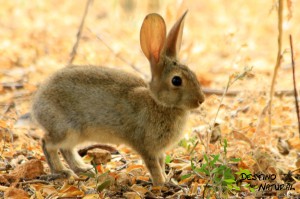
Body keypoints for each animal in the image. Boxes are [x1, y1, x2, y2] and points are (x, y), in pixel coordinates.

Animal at [31, 10, 205, 186]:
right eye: (176, 80)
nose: (201, 100)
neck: (158, 102)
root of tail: (37, 103)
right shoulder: (146, 146)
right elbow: (154, 167)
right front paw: (161, 184)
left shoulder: (159, 151)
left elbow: (161, 164)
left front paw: (170, 181)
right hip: (65, 129)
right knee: (47, 143)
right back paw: (62, 172)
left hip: (76, 134)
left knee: (66, 149)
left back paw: (84, 169)